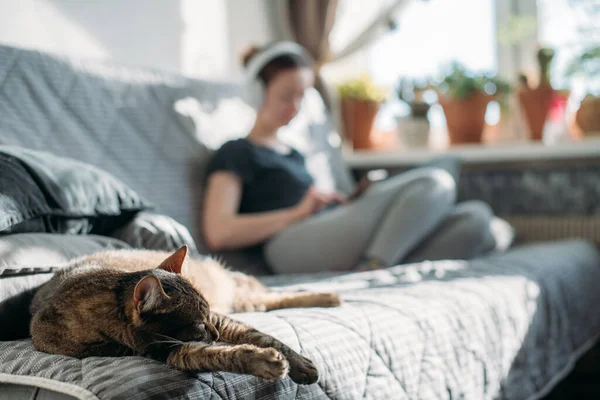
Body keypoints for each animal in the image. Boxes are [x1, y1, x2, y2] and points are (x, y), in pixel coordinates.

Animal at [31, 245, 342, 382]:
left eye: (207, 318)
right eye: (197, 324)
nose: (214, 333)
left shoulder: (220, 318)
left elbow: (264, 337)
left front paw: (300, 364)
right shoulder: (168, 349)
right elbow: (220, 355)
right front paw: (263, 362)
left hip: (242, 298)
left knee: (270, 294)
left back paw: (329, 295)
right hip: (246, 303)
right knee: (267, 298)